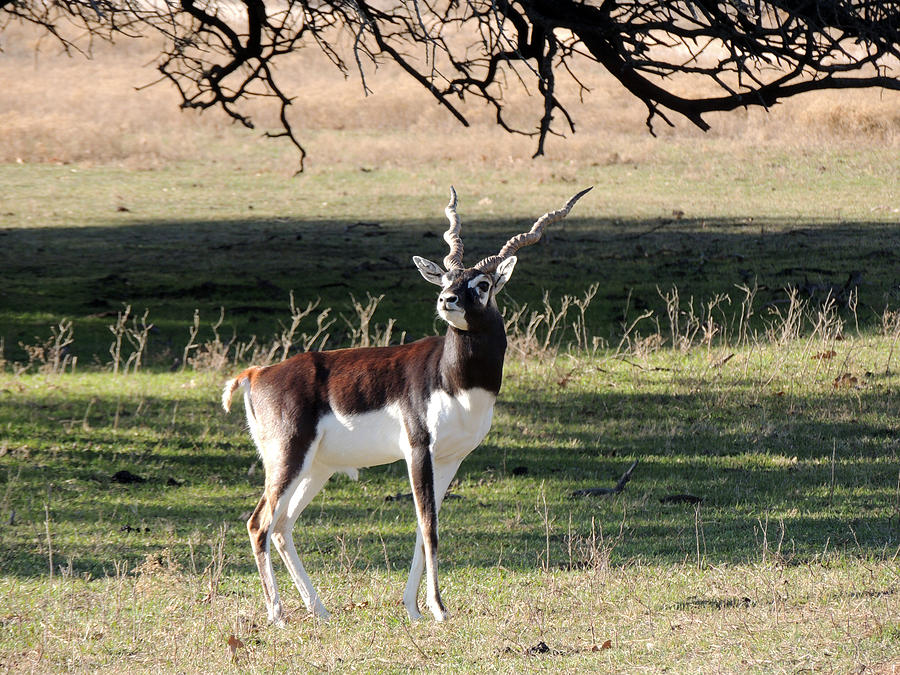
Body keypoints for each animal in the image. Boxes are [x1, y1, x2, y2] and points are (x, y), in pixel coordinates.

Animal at [223, 186, 592, 628]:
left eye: (483, 283)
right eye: (448, 278)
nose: (447, 299)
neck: (454, 380)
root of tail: (257, 373)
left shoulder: (451, 458)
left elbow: (423, 528)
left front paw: (415, 609)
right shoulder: (418, 449)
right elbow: (429, 526)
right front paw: (439, 608)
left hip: (317, 468)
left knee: (281, 526)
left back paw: (320, 610)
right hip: (287, 458)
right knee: (258, 523)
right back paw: (278, 616)